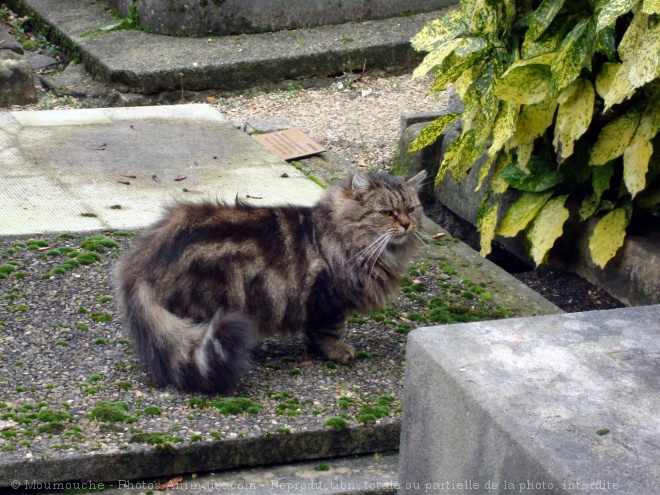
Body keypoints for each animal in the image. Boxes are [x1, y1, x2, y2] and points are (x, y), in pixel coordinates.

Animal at [115, 172, 428, 394]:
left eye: (412, 209)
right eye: (387, 212)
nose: (406, 225)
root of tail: (142, 259)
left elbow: (314, 332)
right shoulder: (329, 298)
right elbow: (330, 331)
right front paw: (338, 352)